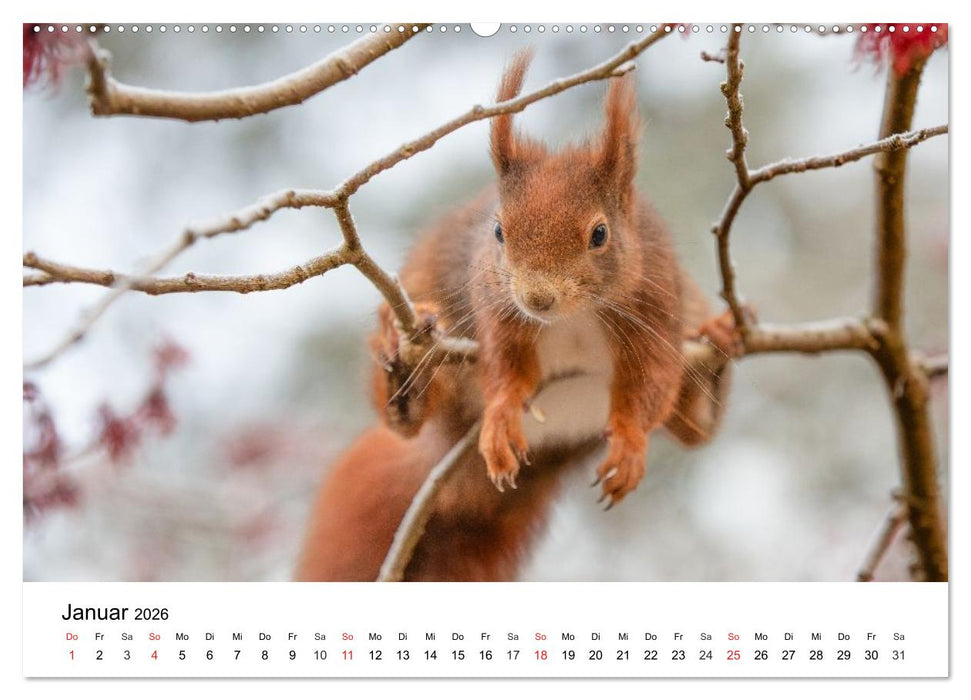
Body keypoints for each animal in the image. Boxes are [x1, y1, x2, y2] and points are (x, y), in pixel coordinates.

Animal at [294, 52, 737, 582]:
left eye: (600, 234)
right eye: (499, 231)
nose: (537, 298)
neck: (570, 318)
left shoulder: (655, 306)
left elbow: (651, 381)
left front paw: (631, 442)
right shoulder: (499, 314)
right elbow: (505, 370)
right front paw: (502, 414)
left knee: (697, 432)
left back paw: (718, 348)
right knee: (404, 422)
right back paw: (403, 369)